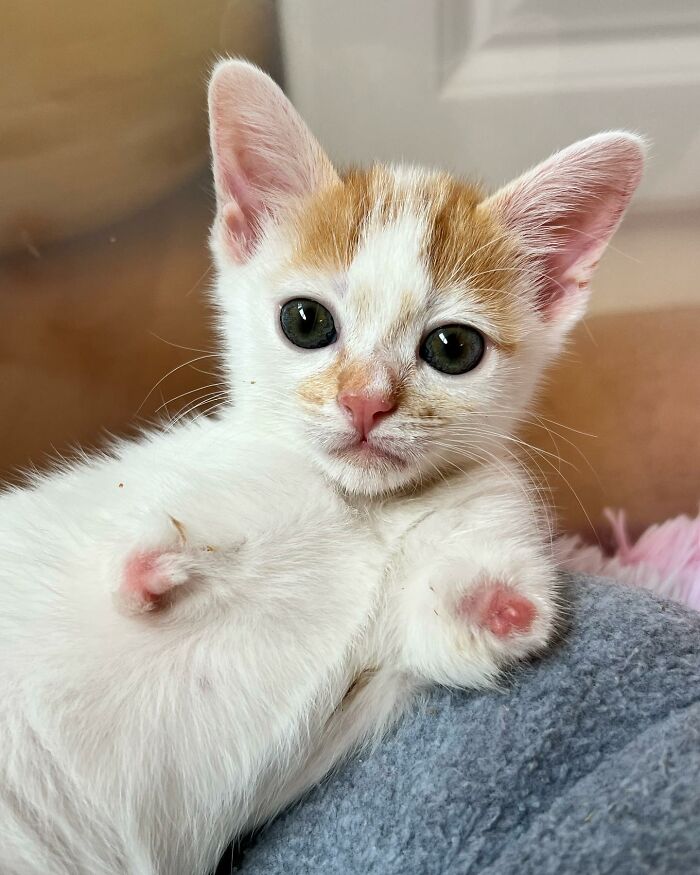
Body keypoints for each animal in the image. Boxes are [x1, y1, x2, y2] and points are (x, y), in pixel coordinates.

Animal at [1, 58, 644, 872]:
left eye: (453, 348)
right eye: (305, 322)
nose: (365, 402)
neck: (359, 511)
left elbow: (454, 629)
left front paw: (502, 601)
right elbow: (134, 552)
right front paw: (157, 565)